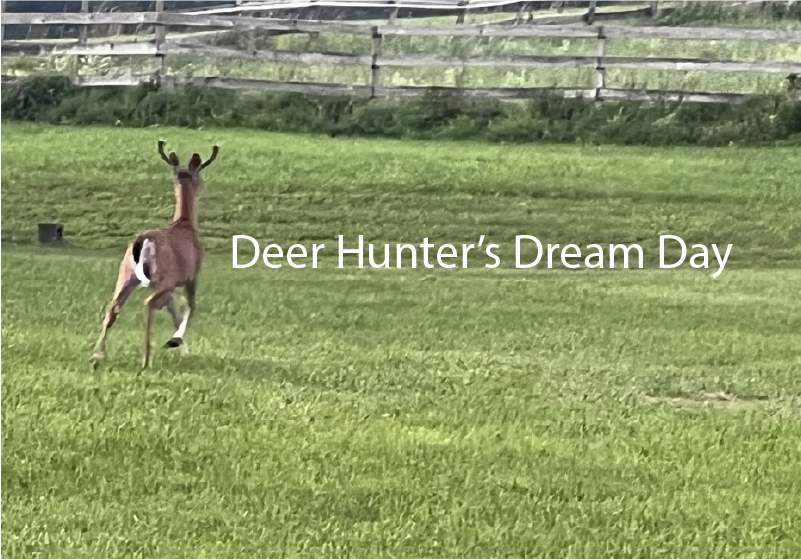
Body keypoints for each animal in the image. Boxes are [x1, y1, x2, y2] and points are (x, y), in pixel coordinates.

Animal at [90, 140, 219, 370]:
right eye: (200, 176)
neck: (185, 223)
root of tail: (144, 240)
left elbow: (175, 312)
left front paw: (181, 347)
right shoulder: (191, 275)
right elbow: (191, 307)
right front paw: (175, 341)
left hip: (126, 274)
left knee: (113, 307)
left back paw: (97, 357)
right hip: (162, 278)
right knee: (148, 304)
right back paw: (146, 359)